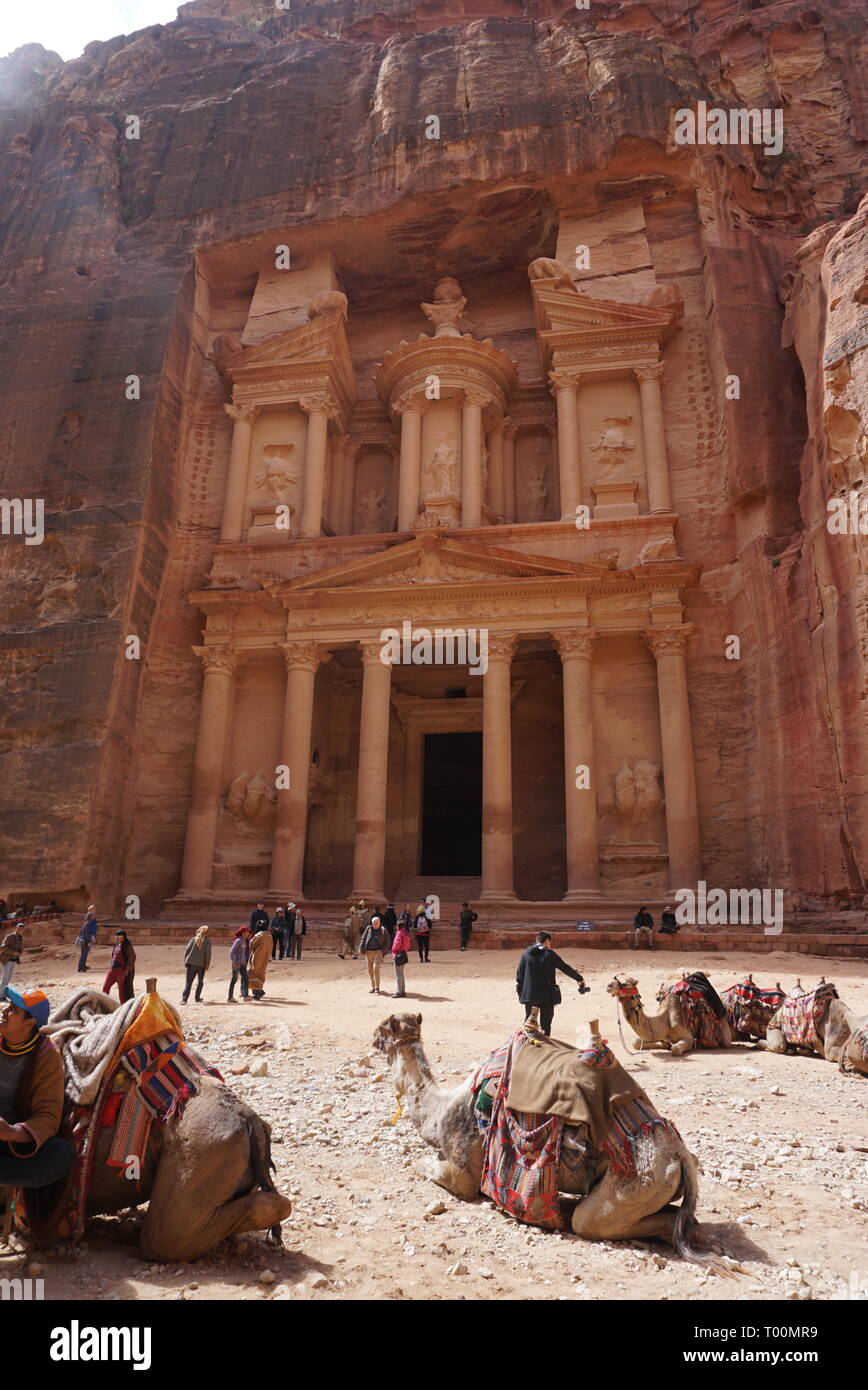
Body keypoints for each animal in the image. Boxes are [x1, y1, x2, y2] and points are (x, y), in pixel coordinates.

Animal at [372, 1017, 706, 1256]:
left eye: (384, 1029)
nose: (373, 1037)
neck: (441, 1109)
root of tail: (679, 1156)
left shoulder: (462, 1173)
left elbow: (423, 1166)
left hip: (640, 1182)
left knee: (590, 1221)